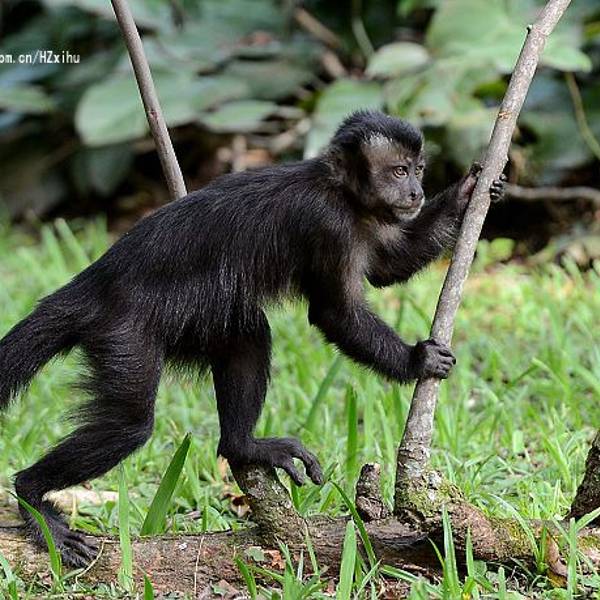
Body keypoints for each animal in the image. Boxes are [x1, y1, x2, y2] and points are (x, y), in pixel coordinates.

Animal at [0, 110, 504, 566]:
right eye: (399, 171)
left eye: (418, 169)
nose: (416, 192)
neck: (340, 192)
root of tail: (95, 283)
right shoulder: (327, 224)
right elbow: (335, 313)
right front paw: (417, 361)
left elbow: (387, 267)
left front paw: (469, 192)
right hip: (123, 331)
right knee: (129, 424)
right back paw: (32, 496)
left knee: (245, 332)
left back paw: (242, 446)